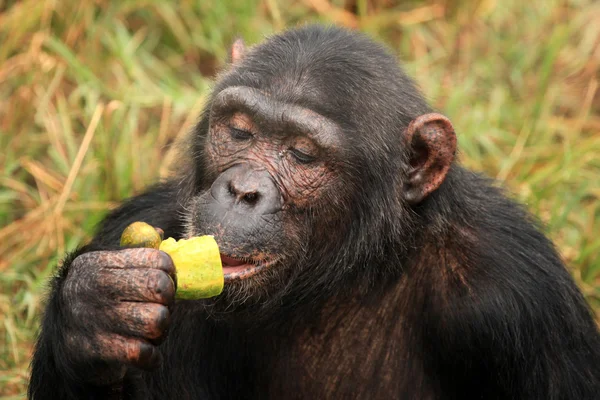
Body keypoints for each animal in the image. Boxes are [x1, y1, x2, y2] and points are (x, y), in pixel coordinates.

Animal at [30, 25, 600, 400]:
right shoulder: (145, 222)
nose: (242, 190)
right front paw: (93, 311)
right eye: (240, 130)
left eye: (302, 154)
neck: (340, 281)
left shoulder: (519, 297)